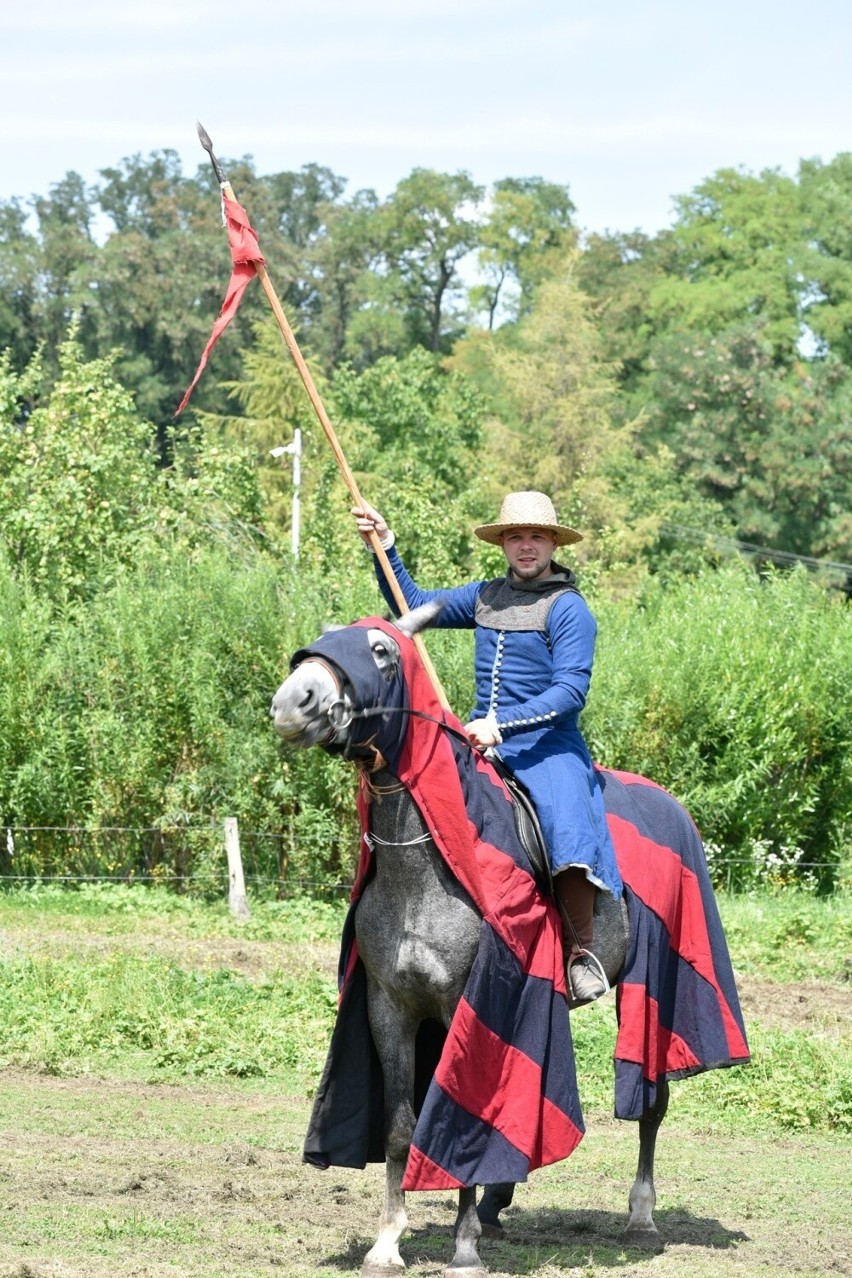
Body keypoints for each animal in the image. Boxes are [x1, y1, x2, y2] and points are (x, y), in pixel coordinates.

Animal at [273, 608, 674, 1278]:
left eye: (381, 650)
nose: (291, 703)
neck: (420, 868)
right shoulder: (389, 1009)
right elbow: (403, 1127)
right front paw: (388, 1241)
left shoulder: (475, 1000)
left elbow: (462, 1113)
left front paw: (462, 1247)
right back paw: (496, 1203)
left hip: (655, 992)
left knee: (652, 1100)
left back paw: (640, 1214)